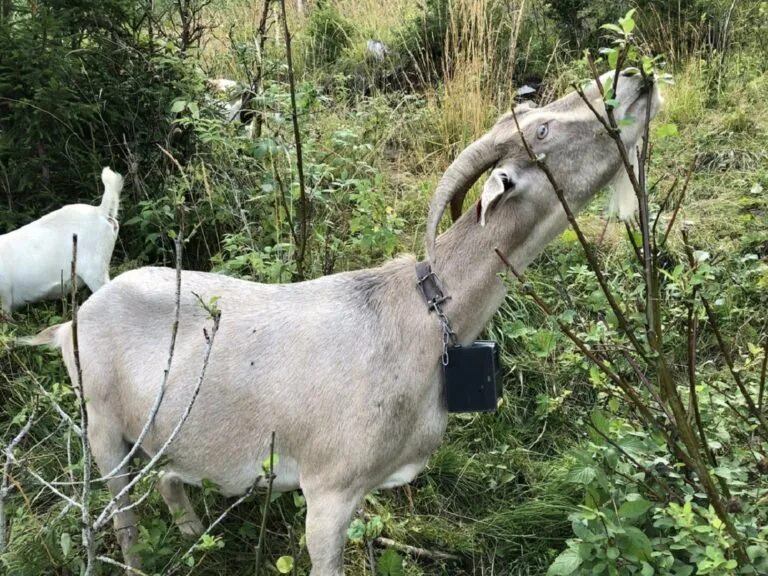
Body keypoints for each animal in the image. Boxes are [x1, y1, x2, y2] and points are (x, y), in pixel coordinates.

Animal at [28, 72, 660, 576]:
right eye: (546, 130)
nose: (636, 78)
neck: (417, 321)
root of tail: (71, 325)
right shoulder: (328, 492)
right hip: (102, 428)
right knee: (123, 516)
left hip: (167, 430)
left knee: (168, 477)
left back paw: (195, 536)